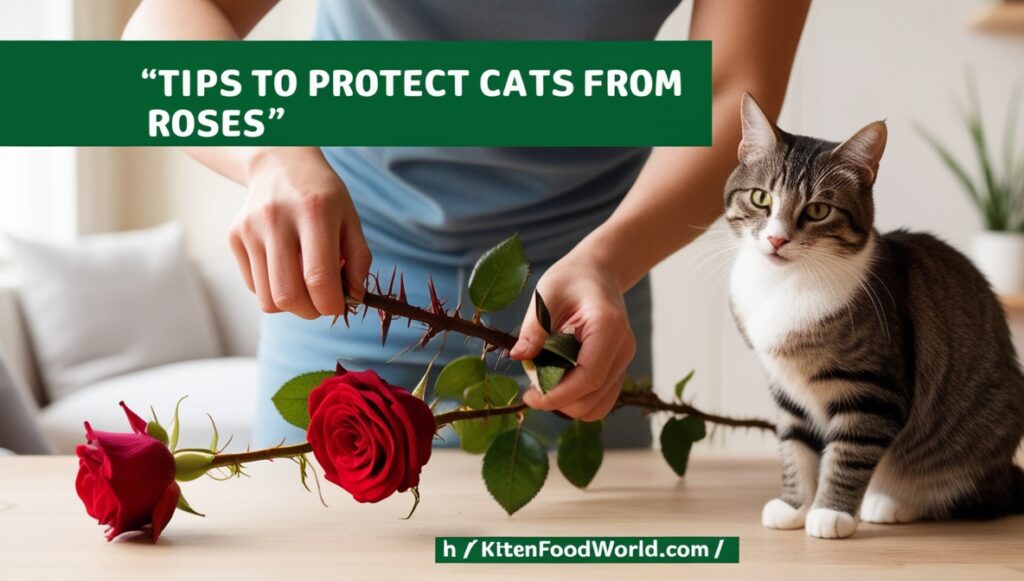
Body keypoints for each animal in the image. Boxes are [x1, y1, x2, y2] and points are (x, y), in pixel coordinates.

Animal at [724, 92, 1019, 541]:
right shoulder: (786, 389)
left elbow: (849, 453)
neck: (786, 284)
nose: (775, 239)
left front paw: (830, 512)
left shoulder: (872, 390)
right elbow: (795, 446)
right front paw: (794, 506)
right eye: (761, 199)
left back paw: (892, 502)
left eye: (818, 210)